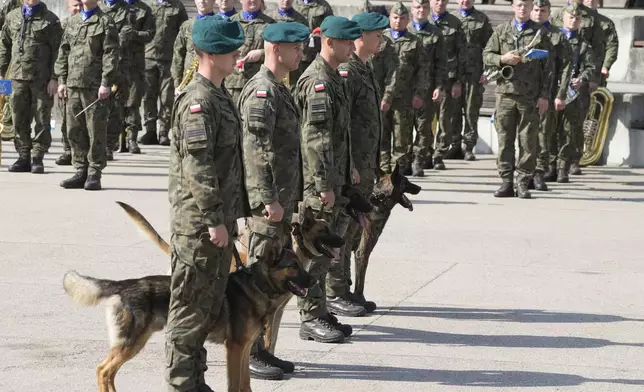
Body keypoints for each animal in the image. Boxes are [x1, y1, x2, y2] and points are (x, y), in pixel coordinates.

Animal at [61, 202, 348, 392]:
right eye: (293, 267)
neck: (258, 284)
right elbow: (237, 382)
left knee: (109, 371)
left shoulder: (245, 347)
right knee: (103, 370)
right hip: (132, 341)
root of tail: (124, 285)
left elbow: (246, 381)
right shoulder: (236, 348)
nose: (313, 281)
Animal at [352, 162, 422, 306]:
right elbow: (360, 282)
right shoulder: (362, 253)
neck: (380, 200)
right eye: (406, 181)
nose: (420, 187)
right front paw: (360, 301)